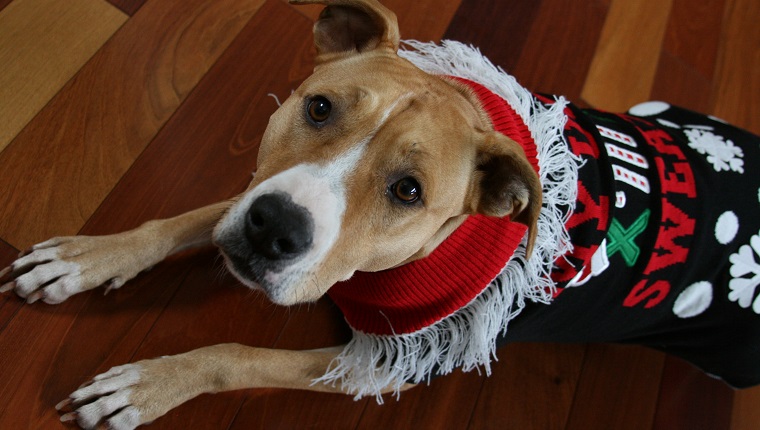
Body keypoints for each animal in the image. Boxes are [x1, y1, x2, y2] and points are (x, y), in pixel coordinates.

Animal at [1, 0, 760, 428]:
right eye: (318, 107)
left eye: (408, 191)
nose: (275, 230)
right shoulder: (260, 189)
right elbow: (187, 220)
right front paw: (86, 259)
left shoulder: (389, 363)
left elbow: (234, 355)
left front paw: (148, 385)